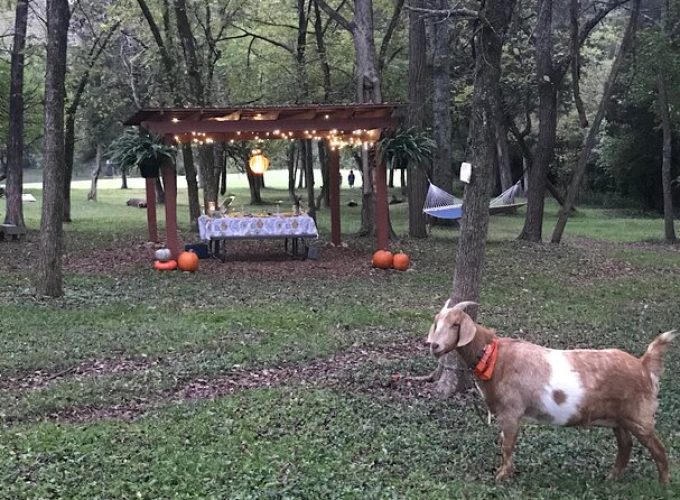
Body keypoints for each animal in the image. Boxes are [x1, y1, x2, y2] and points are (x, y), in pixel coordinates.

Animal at [428, 298, 676, 482]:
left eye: (455, 324)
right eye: (437, 323)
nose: (434, 346)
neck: (494, 357)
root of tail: (644, 365)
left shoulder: (511, 412)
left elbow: (507, 445)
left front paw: (502, 477)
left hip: (639, 415)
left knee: (658, 449)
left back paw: (663, 484)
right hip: (619, 417)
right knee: (626, 446)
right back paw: (610, 479)